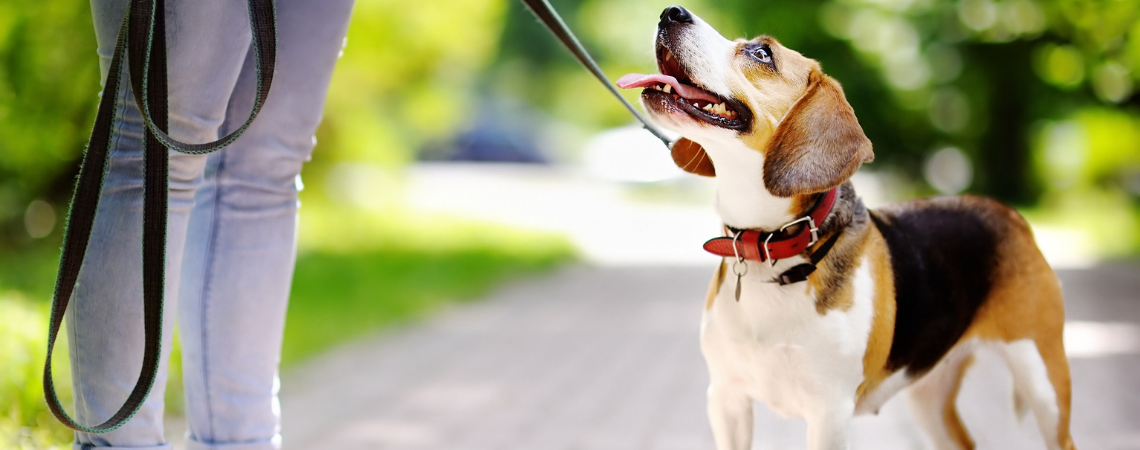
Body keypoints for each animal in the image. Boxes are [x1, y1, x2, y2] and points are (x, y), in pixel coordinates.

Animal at [620, 6, 1071, 450]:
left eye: (762, 54)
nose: (671, 11)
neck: (771, 247)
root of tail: (1006, 212)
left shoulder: (829, 415)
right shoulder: (726, 399)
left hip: (1044, 381)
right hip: (929, 396)